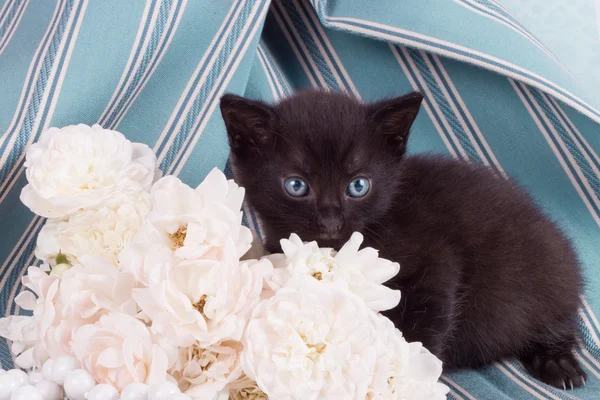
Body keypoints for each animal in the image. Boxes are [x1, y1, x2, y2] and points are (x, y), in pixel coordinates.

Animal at [220, 90, 584, 388]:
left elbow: (419, 334)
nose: (331, 221)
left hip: (551, 278)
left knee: (559, 323)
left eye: (358, 185)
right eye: (296, 186)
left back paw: (559, 364)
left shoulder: (435, 265)